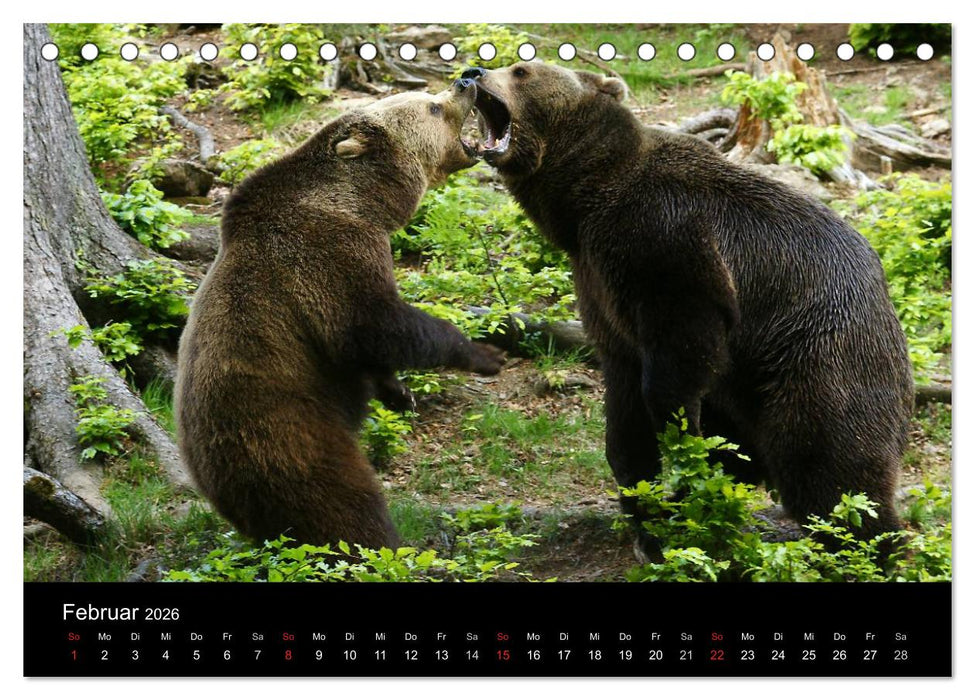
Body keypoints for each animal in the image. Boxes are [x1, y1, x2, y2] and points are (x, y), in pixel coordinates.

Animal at [175, 81, 504, 549]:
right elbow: (371, 326)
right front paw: (485, 353)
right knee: (343, 507)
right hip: (289, 438)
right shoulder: (325, 255)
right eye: (432, 107)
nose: (466, 81)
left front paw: (399, 392)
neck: (365, 204)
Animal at [461, 62, 914, 552]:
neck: (584, 198)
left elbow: (678, 352)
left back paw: (867, 544)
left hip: (818, 351)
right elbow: (624, 404)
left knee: (827, 462)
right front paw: (648, 512)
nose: (471, 73)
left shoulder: (666, 240)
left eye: (521, 69)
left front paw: (678, 444)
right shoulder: (597, 283)